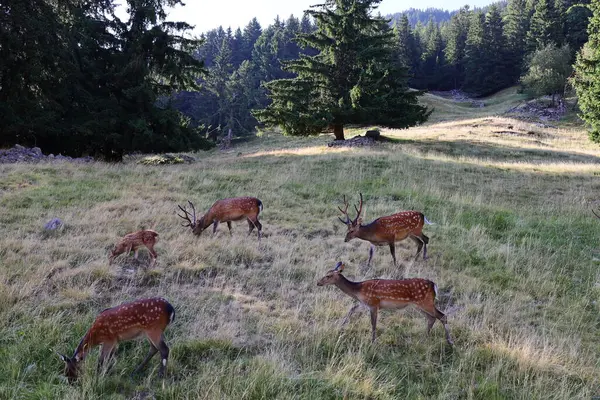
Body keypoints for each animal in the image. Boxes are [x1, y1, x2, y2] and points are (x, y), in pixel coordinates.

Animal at [316, 262, 452, 344]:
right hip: (419, 305)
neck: (358, 290)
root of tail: (434, 285)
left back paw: (449, 341)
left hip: (425, 302)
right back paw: (424, 338)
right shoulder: (365, 303)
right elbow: (352, 308)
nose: (318, 283)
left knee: (442, 316)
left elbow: (373, 323)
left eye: (328, 276)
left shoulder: (373, 303)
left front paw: (373, 341)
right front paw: (341, 327)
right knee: (431, 318)